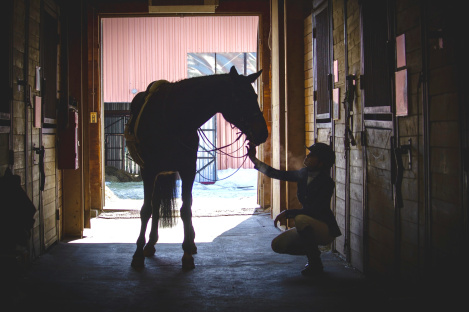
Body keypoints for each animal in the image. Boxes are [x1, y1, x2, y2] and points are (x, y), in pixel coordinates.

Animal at [125, 66, 266, 270]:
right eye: (240, 97)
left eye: (255, 96)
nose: (263, 132)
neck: (172, 120)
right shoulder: (148, 171)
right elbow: (146, 210)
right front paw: (137, 255)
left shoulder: (188, 170)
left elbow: (186, 209)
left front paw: (186, 254)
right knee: (155, 204)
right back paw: (150, 244)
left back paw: (186, 244)